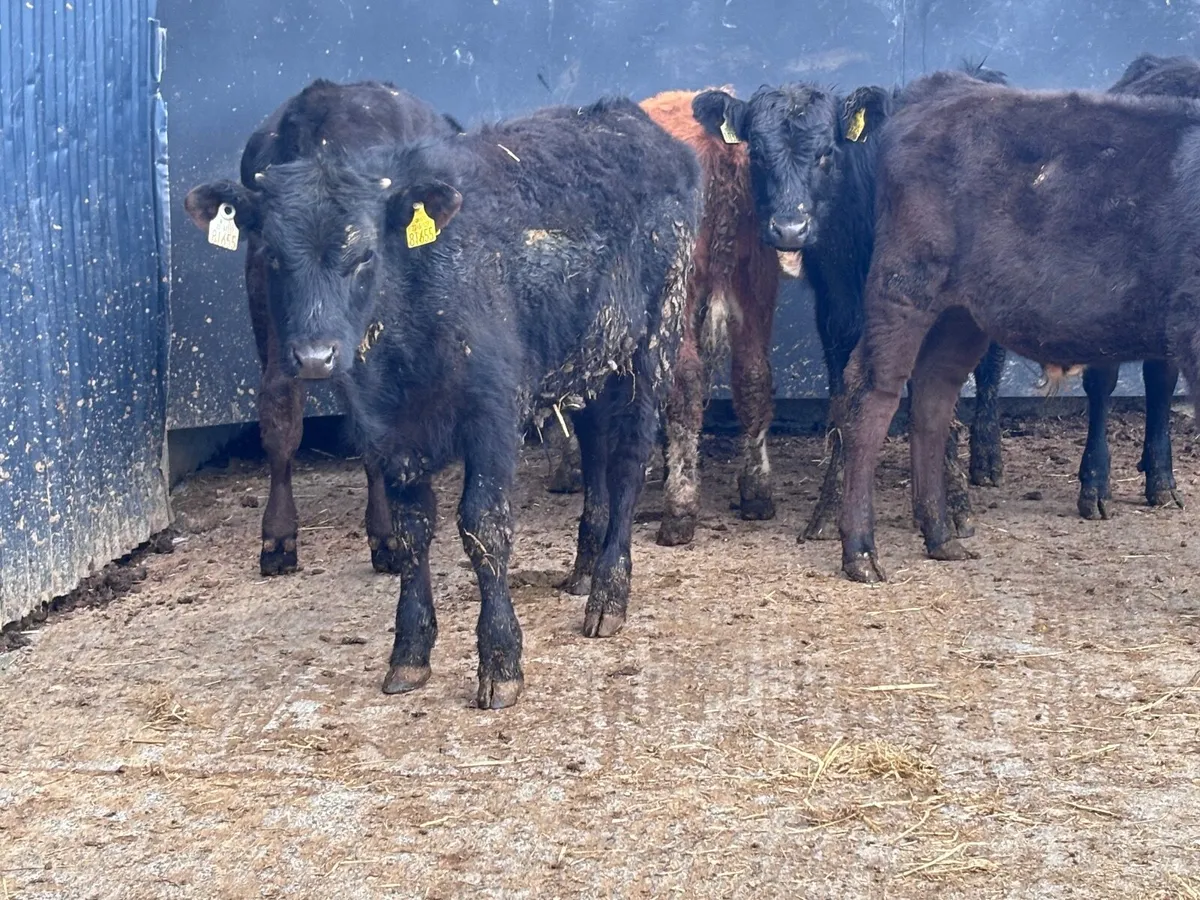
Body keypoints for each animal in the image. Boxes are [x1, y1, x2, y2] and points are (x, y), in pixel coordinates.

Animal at [183, 79, 462, 578]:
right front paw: (278, 536)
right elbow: (280, 419)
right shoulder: (276, 338)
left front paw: (387, 533)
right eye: (272, 253)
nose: (316, 358)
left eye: (367, 255)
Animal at [690, 63, 1011, 546]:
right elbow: (845, 404)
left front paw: (952, 506)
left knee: (991, 368)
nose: (790, 228)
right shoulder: (836, 313)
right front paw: (827, 510)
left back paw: (987, 460)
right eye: (758, 154)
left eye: (826, 152)